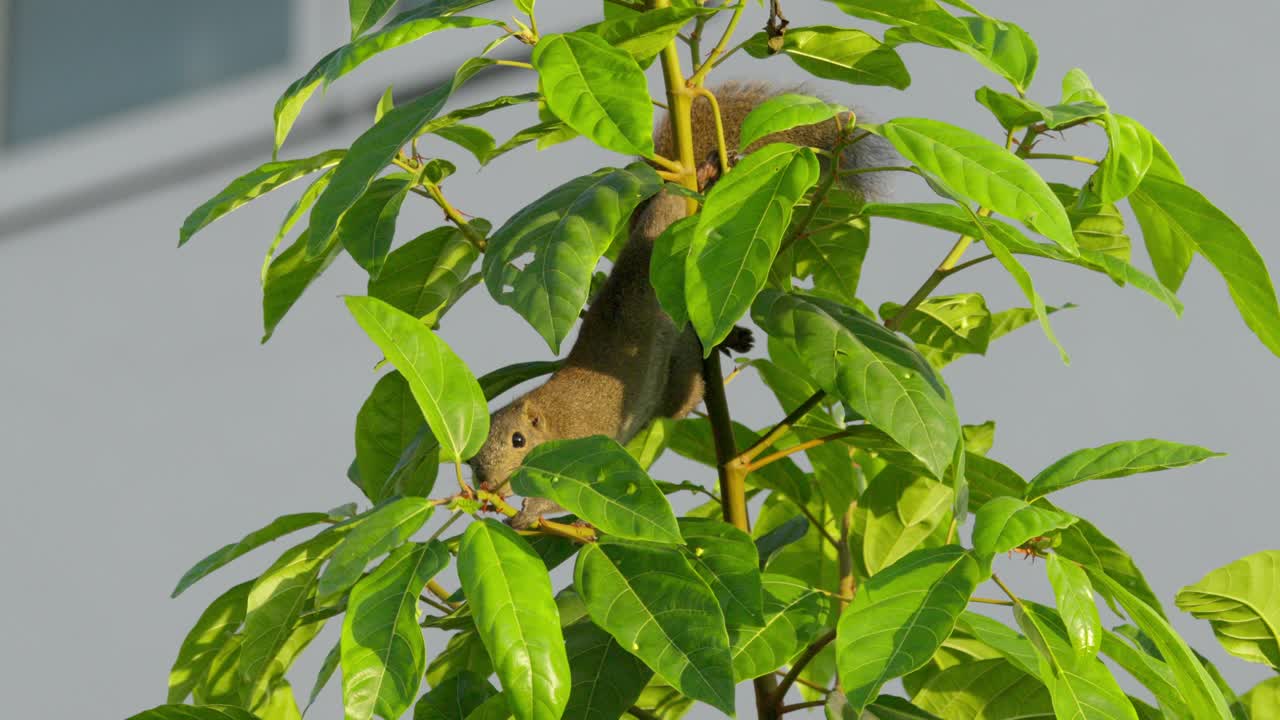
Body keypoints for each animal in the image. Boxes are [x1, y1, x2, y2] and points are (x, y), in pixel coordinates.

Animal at [468, 82, 897, 526]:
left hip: (669, 313)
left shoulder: (584, 444)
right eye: (470, 460)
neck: (552, 419)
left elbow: (559, 492)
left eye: (519, 440)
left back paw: (707, 175)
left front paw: (528, 511)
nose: (488, 486)